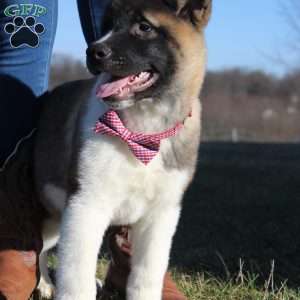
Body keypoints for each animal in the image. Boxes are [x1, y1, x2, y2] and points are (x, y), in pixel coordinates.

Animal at [35, 0, 212, 300]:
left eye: (144, 27)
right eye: (107, 26)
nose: (92, 52)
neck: (143, 130)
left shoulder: (161, 215)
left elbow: (146, 276)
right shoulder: (85, 205)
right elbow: (77, 280)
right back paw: (45, 284)